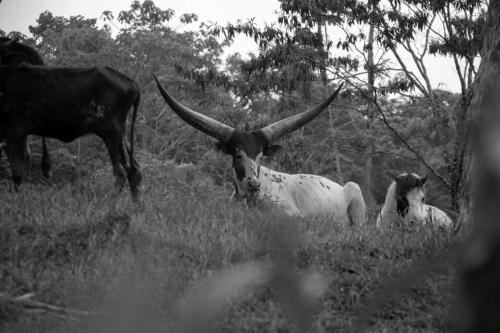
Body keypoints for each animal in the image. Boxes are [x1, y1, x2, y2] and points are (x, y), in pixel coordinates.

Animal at [0, 64, 142, 200]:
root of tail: (131, 82)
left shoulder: (16, 132)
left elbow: (17, 172)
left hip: (111, 132)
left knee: (120, 173)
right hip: (119, 135)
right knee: (133, 170)